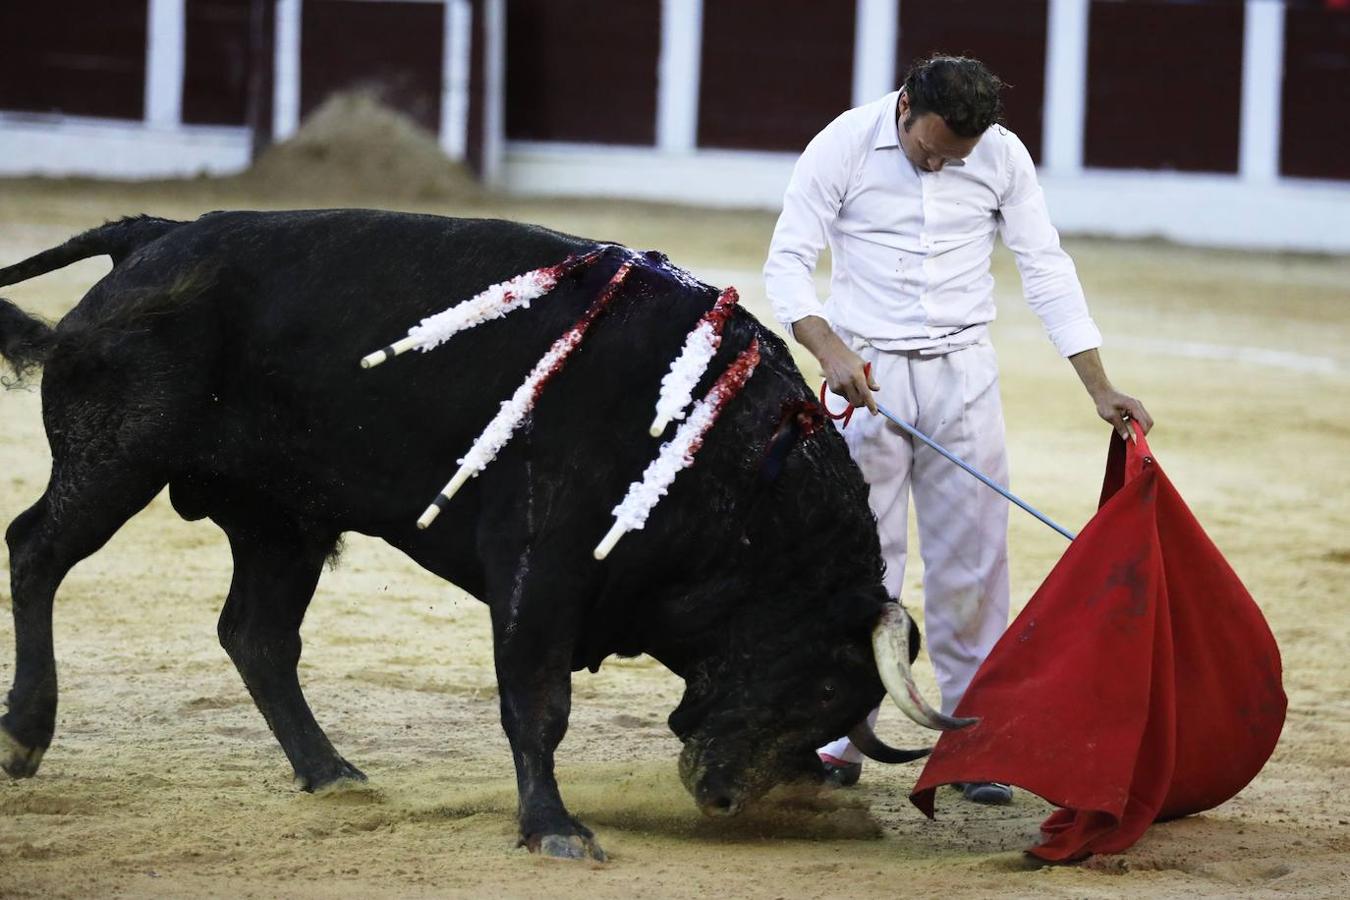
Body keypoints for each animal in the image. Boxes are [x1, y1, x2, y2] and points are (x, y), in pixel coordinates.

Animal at [0, 211, 961, 858]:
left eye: (837, 702)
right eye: (818, 683)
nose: (723, 801)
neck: (736, 466)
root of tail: (157, 233)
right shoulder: (541, 566)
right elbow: (536, 701)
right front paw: (554, 829)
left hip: (283, 519)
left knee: (257, 635)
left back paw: (332, 773)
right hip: (117, 458)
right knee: (36, 549)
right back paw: (24, 734)